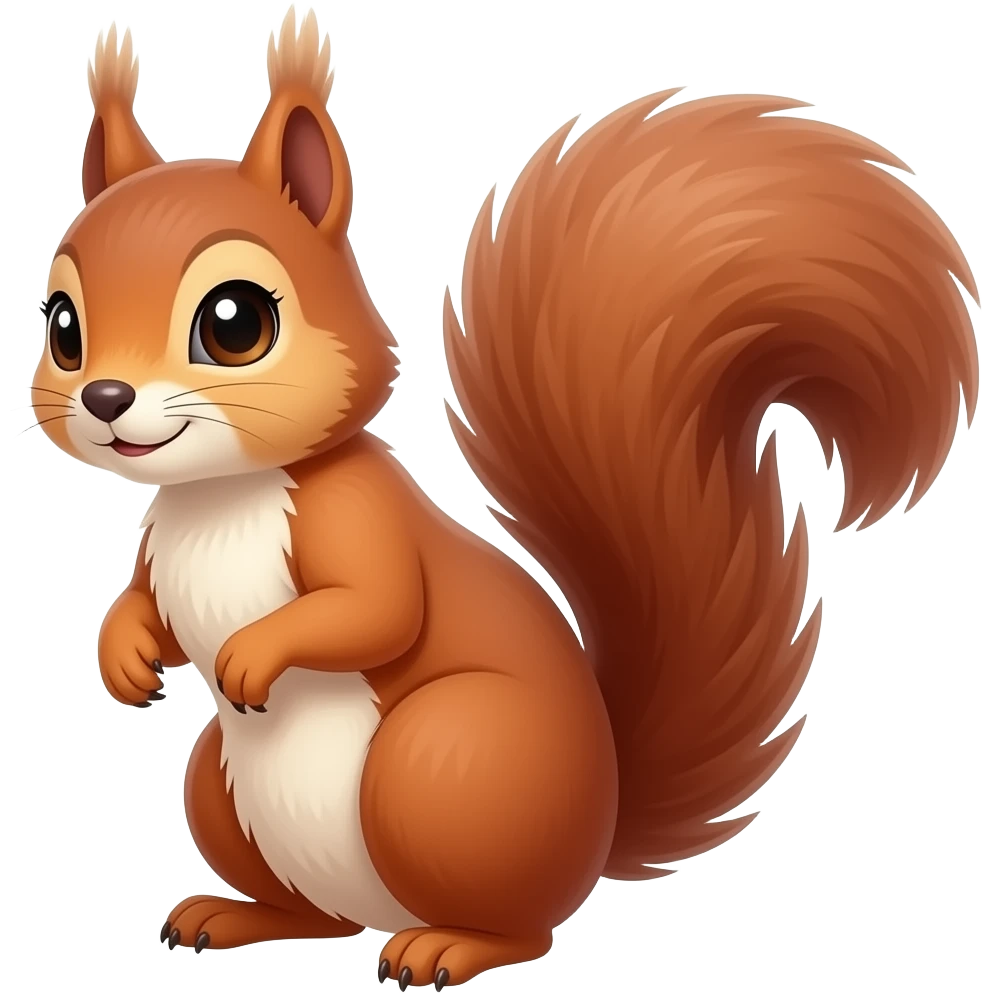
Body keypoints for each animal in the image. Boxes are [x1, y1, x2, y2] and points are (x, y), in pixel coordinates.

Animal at [30, 9, 979, 990]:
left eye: (235, 322)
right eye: (62, 327)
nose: (105, 399)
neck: (222, 495)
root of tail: (596, 833)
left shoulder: (357, 518)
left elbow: (378, 607)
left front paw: (253, 654)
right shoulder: (159, 547)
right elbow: (149, 606)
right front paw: (124, 652)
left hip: (444, 762)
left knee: (523, 928)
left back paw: (448, 946)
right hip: (224, 785)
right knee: (318, 917)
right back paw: (235, 914)